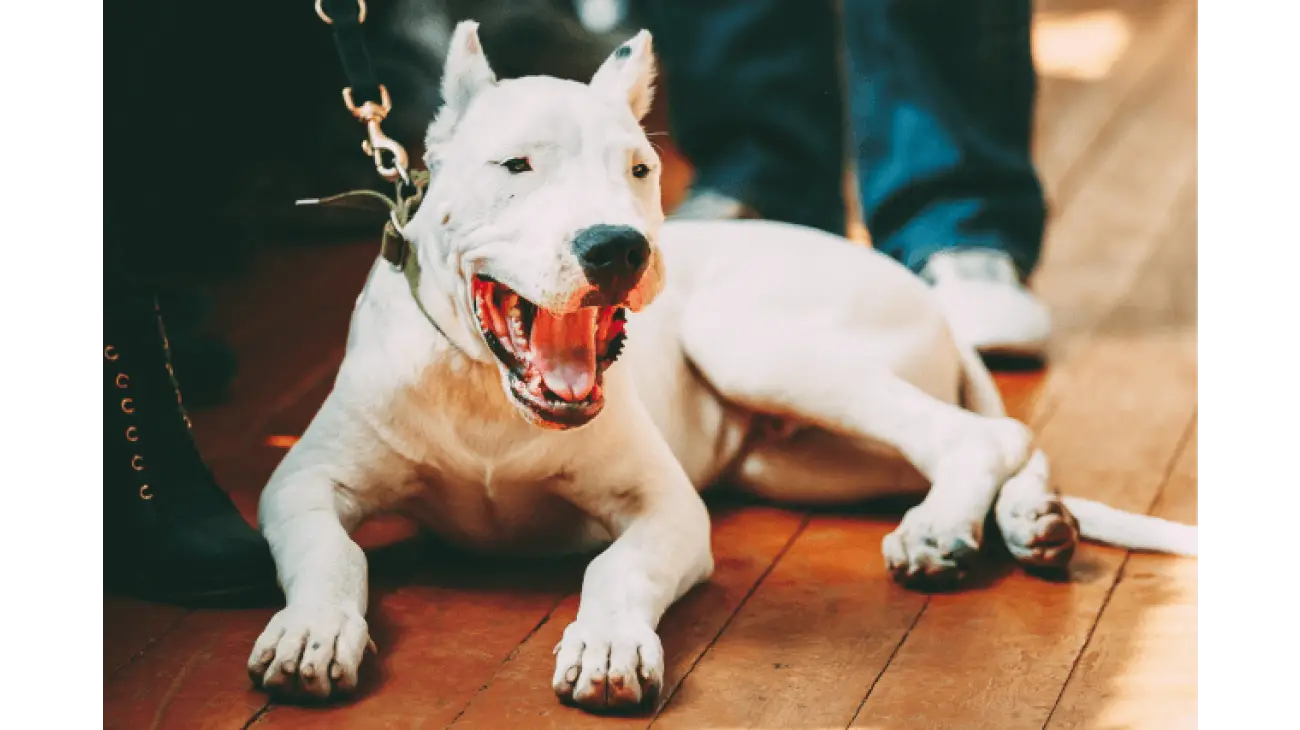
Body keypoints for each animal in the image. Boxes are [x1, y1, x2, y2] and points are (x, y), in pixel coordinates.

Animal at [244, 21, 1196, 711]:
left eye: (640, 169)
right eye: (514, 165)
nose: (618, 248)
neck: (489, 397)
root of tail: (927, 297)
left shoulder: (665, 509)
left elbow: (615, 567)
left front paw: (608, 643)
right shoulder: (300, 483)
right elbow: (330, 553)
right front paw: (311, 630)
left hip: (753, 342)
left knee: (980, 435)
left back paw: (943, 530)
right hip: (806, 459)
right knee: (997, 440)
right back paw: (1034, 521)